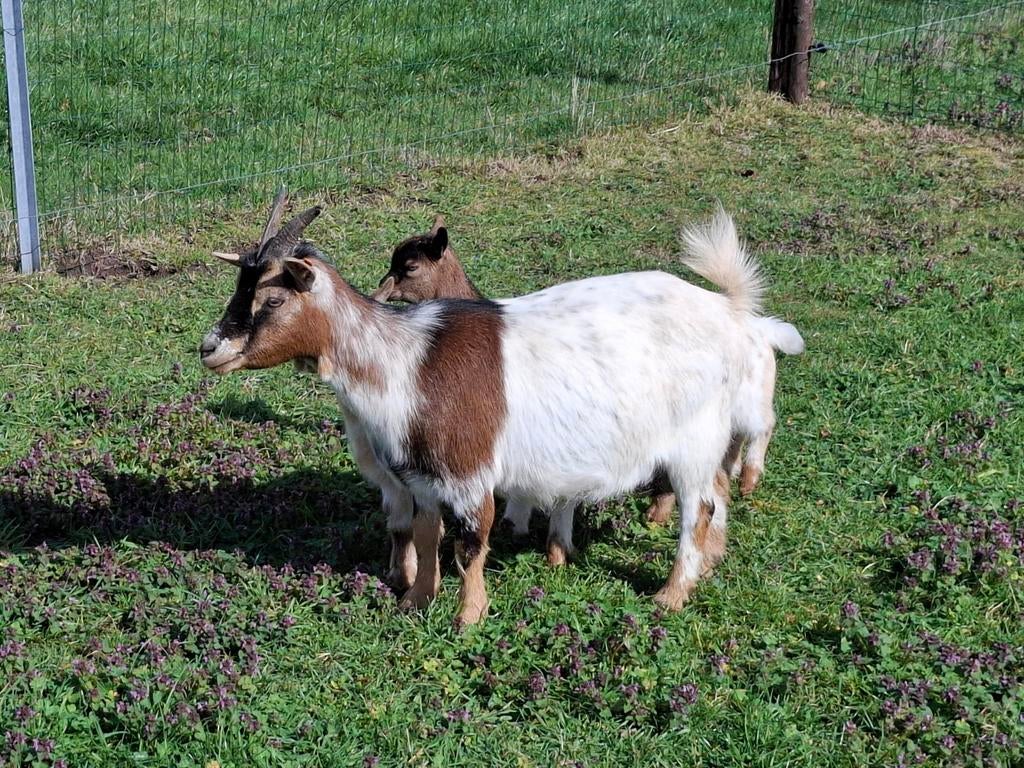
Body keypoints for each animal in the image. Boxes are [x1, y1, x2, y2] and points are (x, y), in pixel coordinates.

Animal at [200, 191, 771, 624]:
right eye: (238, 290)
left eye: (273, 299)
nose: (210, 348)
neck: (404, 361)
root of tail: (728, 311)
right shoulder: (421, 478)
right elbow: (426, 534)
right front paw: (414, 601)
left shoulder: (469, 471)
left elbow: (470, 545)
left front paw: (467, 616)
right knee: (718, 495)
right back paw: (709, 564)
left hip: (694, 439)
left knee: (698, 508)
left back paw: (670, 595)